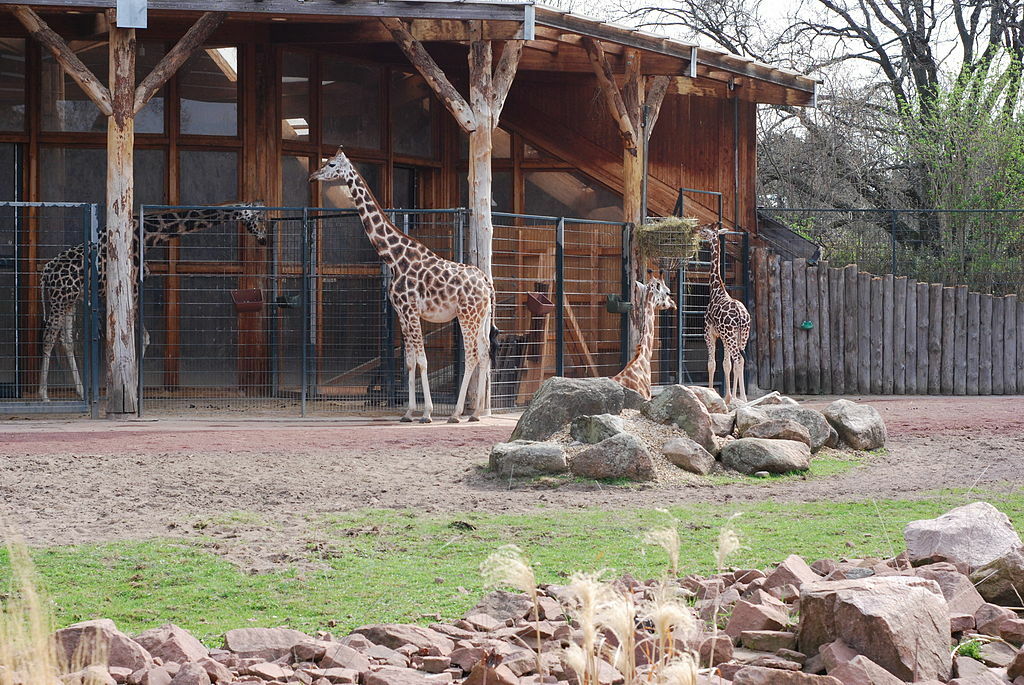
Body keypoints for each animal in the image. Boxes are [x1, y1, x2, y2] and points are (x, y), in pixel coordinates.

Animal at [38, 204, 268, 401]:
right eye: (260, 218)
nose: (264, 239)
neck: (147, 236)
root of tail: (46, 271)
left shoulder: (129, 289)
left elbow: (142, 337)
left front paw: (133, 387)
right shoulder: (132, 286)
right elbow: (137, 337)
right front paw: (132, 389)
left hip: (71, 299)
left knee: (65, 339)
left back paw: (79, 391)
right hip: (60, 298)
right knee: (48, 336)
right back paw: (43, 394)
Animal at [310, 147, 496, 423]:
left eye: (331, 164)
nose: (313, 175)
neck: (394, 257)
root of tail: (486, 283)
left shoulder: (411, 310)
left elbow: (423, 360)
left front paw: (427, 413)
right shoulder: (401, 314)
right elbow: (410, 361)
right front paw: (408, 412)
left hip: (467, 315)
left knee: (472, 355)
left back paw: (455, 413)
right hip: (482, 316)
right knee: (484, 353)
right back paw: (477, 412)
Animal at [699, 223, 751, 405]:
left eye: (705, 231)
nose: (697, 232)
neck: (716, 290)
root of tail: (742, 315)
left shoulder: (709, 333)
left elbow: (712, 364)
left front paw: (711, 392)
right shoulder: (723, 336)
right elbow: (726, 364)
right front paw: (728, 397)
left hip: (730, 335)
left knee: (739, 359)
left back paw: (744, 398)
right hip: (742, 334)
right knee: (740, 360)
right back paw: (739, 398)